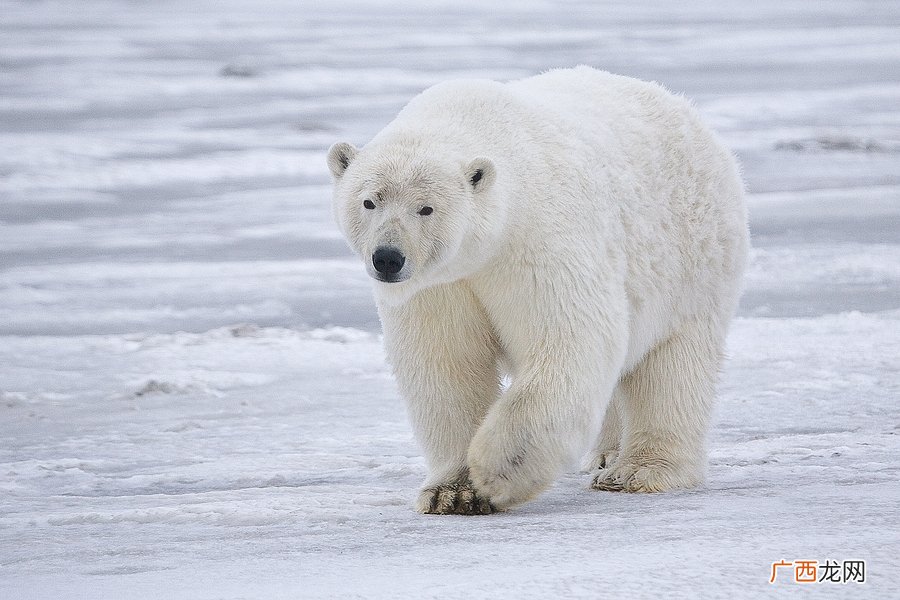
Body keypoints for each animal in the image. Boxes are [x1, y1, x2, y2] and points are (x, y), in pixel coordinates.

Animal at [326, 66, 749, 515]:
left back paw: (637, 471)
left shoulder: (539, 240)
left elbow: (569, 339)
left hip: (693, 259)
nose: (388, 258)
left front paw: (496, 472)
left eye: (426, 208)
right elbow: (446, 364)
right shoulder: (439, 285)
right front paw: (452, 492)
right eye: (369, 201)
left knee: (673, 367)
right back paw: (605, 454)